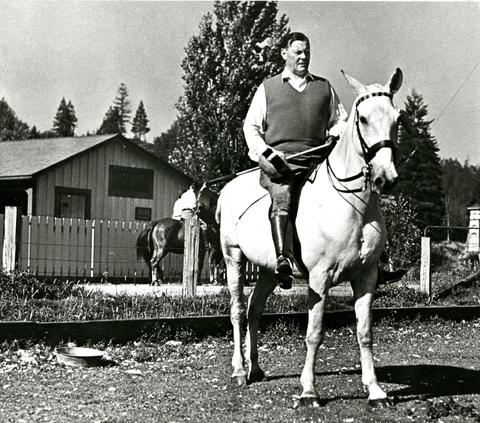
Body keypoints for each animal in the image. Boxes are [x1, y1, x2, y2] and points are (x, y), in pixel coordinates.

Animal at [216, 68, 404, 408]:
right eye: (363, 119)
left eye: (398, 118)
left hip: (269, 271)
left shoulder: (366, 277)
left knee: (254, 309)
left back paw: (256, 369)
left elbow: (365, 333)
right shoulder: (319, 278)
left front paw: (375, 391)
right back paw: (238, 371)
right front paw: (308, 392)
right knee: (237, 311)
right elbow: (314, 333)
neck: (352, 205)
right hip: (233, 258)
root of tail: (226, 189)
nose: (386, 178)